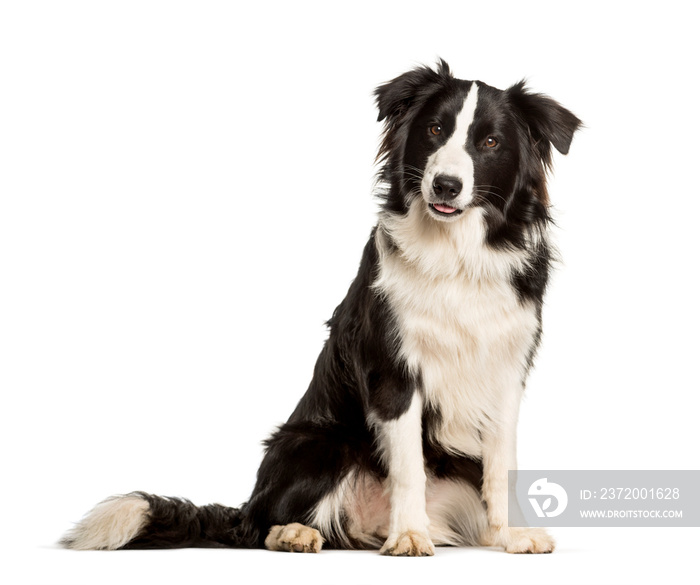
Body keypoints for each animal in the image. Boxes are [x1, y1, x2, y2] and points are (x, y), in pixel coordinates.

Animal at [61, 61, 580, 556]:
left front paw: (511, 534)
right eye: (434, 129)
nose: (446, 185)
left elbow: (501, 463)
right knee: (261, 525)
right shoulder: (392, 372)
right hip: (316, 442)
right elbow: (408, 466)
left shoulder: (506, 371)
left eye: (490, 142)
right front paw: (410, 535)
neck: (455, 253)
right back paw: (295, 533)